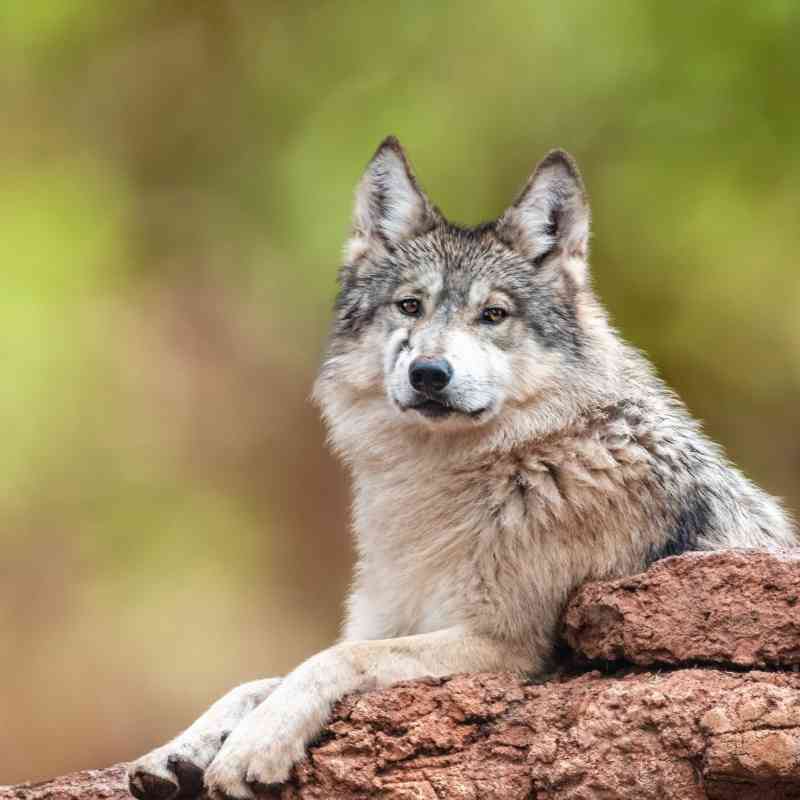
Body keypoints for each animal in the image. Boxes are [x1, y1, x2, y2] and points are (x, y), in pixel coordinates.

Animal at [129, 138, 796, 799]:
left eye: (493, 315)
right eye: (409, 306)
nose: (429, 373)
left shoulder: (504, 646)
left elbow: (332, 661)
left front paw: (254, 747)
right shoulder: (388, 620)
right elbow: (257, 681)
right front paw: (176, 752)